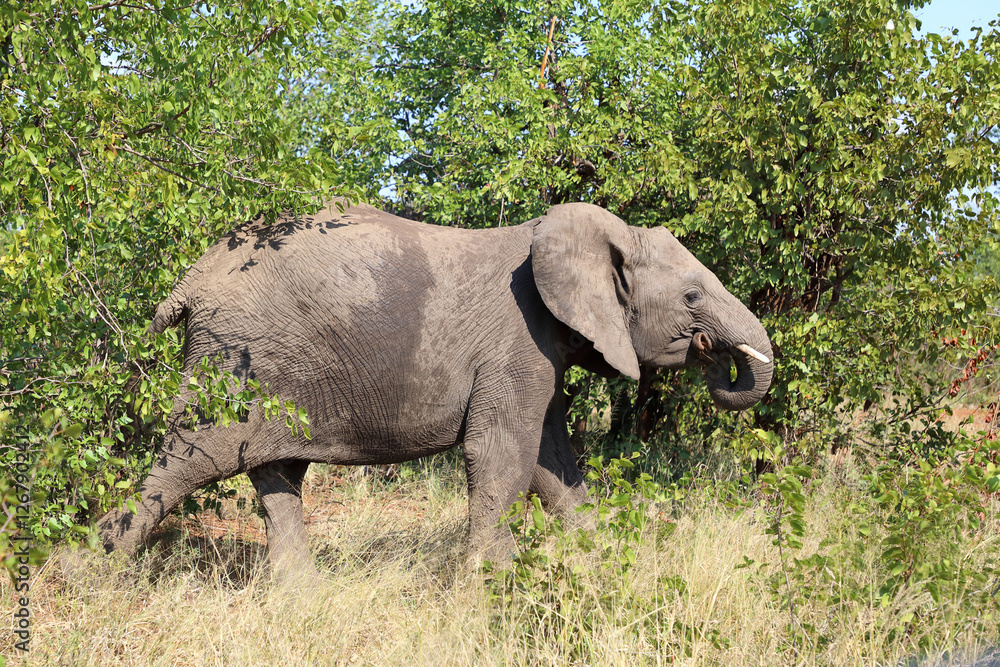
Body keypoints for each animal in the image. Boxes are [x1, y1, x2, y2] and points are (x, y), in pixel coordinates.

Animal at [98, 200, 773, 577]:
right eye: (692, 297)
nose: (718, 356)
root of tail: (190, 281)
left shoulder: (540, 352)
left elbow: (551, 462)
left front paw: (600, 562)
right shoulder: (518, 340)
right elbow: (503, 455)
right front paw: (488, 585)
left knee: (276, 474)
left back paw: (302, 597)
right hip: (232, 360)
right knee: (186, 461)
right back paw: (89, 574)